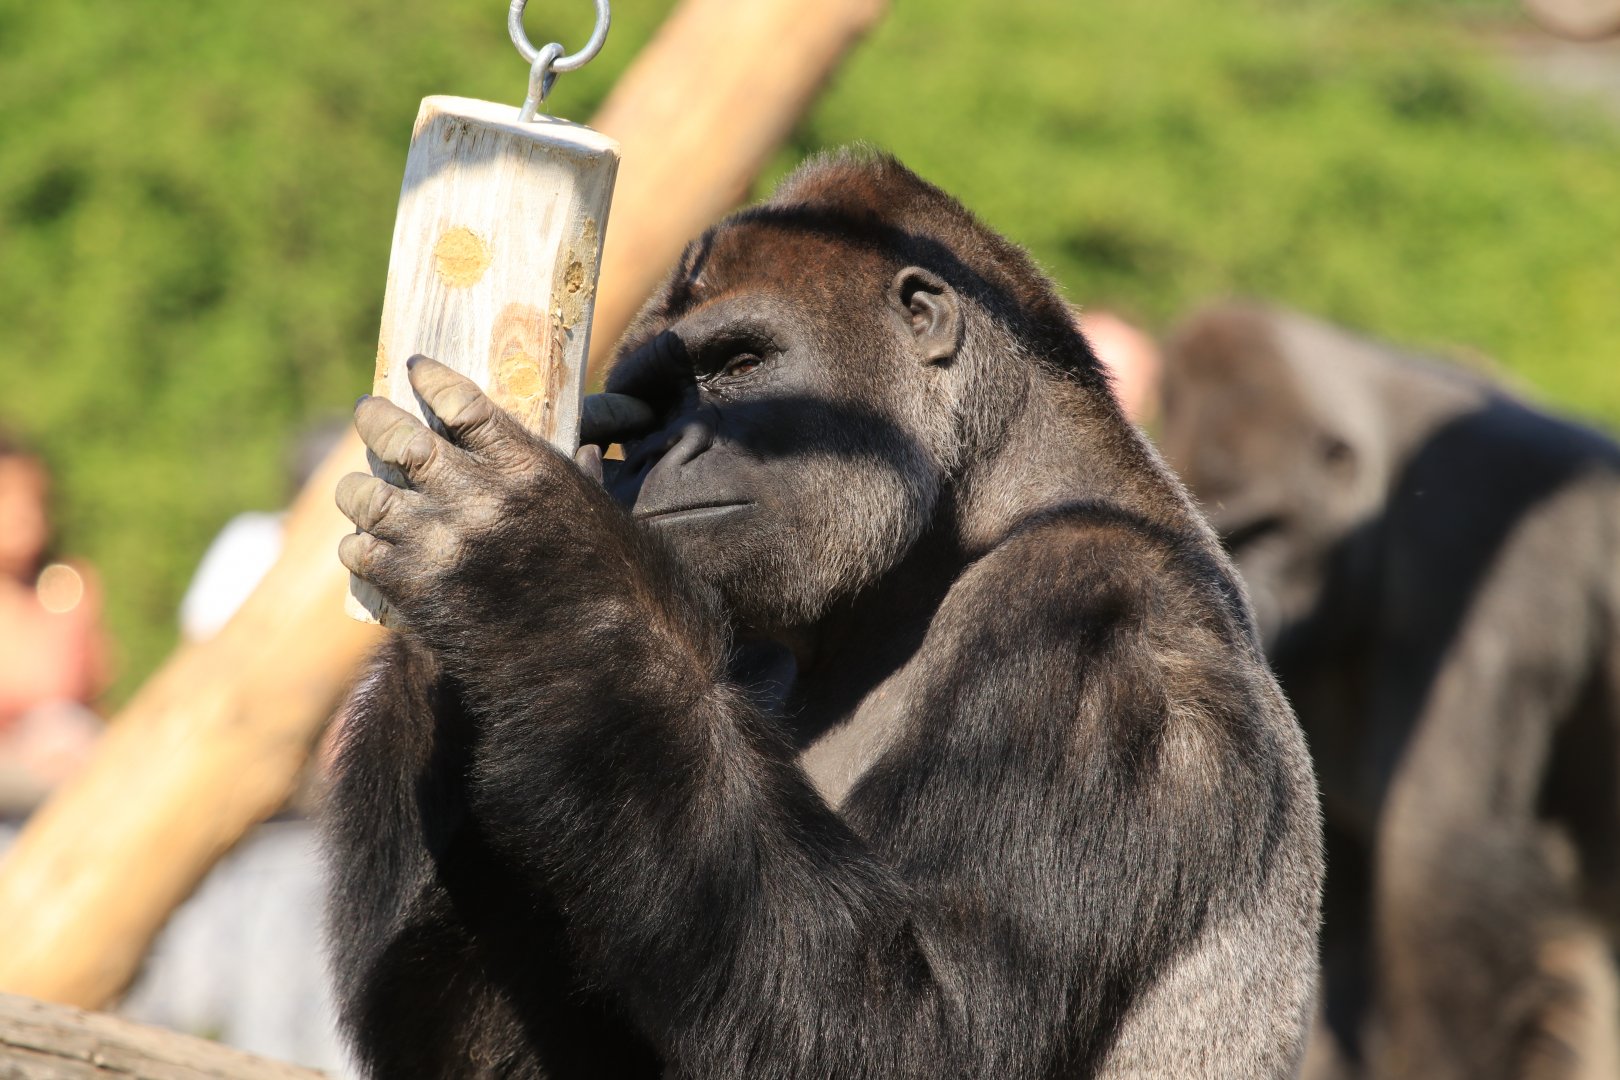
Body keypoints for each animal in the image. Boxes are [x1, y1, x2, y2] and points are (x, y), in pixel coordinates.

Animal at [323, 153, 1324, 1079]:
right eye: (647, 403)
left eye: (740, 365)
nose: (656, 450)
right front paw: (455, 649)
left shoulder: (1091, 622)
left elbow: (915, 1028)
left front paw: (530, 568)